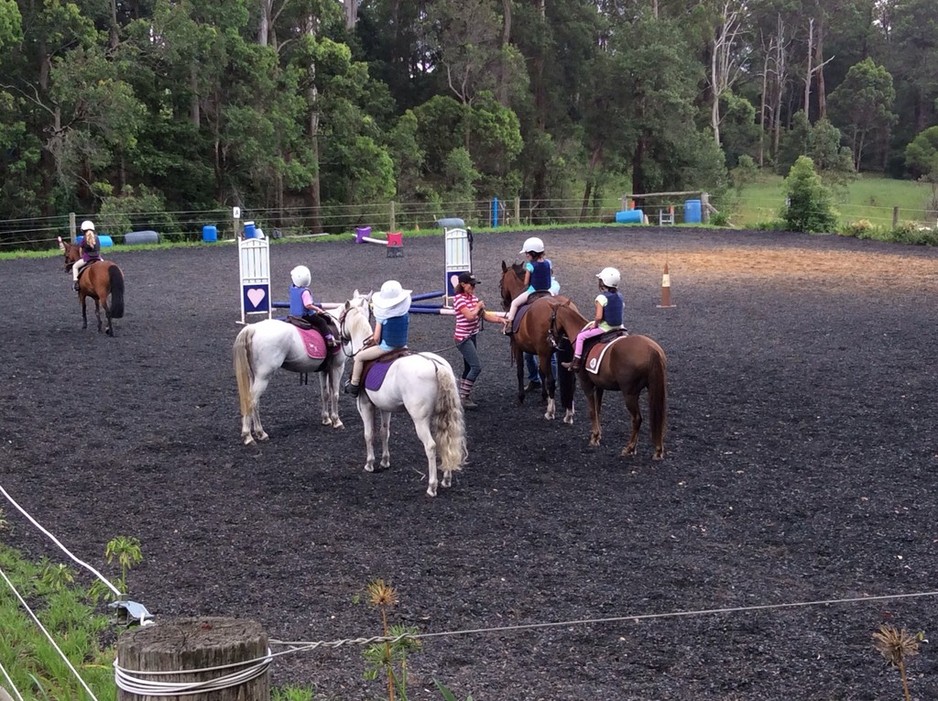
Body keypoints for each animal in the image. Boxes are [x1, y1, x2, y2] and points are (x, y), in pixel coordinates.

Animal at [232, 296, 372, 442]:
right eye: (370, 309)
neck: (339, 325)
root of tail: (252, 328)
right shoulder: (337, 367)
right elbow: (335, 394)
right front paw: (336, 421)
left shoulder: (324, 369)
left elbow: (325, 393)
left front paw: (326, 419)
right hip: (263, 377)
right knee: (252, 401)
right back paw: (254, 434)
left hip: (254, 376)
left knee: (254, 402)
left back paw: (255, 433)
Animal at [498, 258, 576, 418]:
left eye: (501, 283)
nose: (504, 303)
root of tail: (560, 307)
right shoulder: (542, 352)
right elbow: (541, 372)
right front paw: (543, 396)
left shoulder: (519, 347)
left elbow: (520, 371)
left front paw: (521, 397)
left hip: (544, 352)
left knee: (552, 380)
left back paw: (550, 412)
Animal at [548, 300, 664, 460]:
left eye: (551, 319)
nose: (550, 338)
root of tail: (652, 349)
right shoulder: (599, 385)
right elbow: (598, 410)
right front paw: (597, 435)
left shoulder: (586, 383)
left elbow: (592, 410)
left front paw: (594, 438)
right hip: (652, 389)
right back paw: (657, 450)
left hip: (630, 394)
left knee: (637, 419)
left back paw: (629, 448)